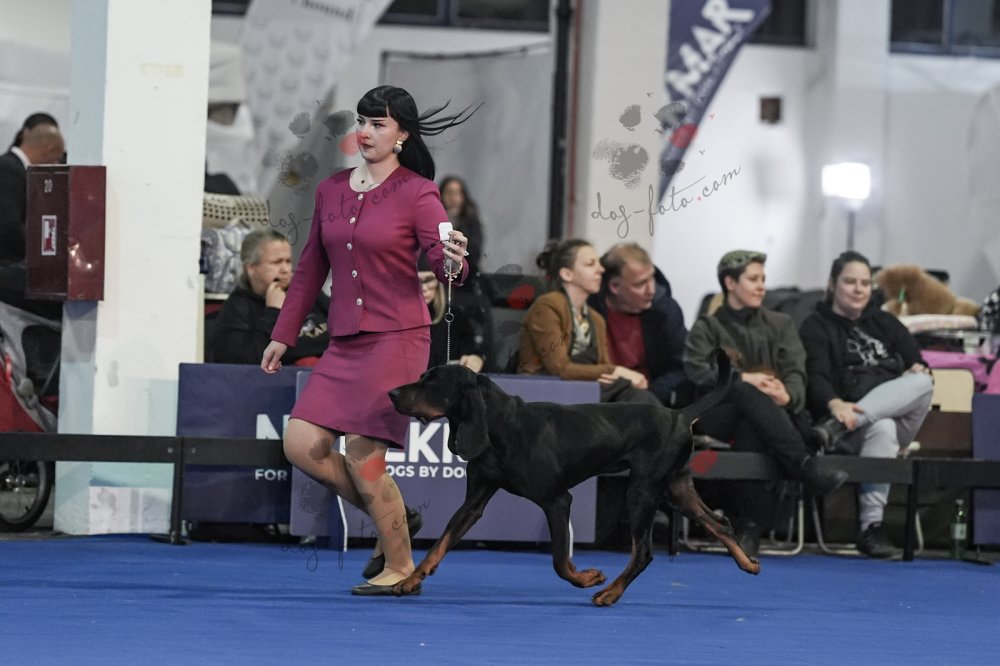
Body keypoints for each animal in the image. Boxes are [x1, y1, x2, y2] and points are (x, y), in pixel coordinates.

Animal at [387, 349, 760, 606]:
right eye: (423, 375)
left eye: (432, 382)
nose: (391, 393)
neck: (498, 425)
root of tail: (680, 415)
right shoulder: (475, 501)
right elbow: (441, 542)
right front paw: (410, 580)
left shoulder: (556, 500)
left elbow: (559, 562)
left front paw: (587, 578)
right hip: (674, 488)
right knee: (720, 523)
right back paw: (749, 563)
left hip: (642, 491)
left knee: (643, 552)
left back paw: (610, 593)